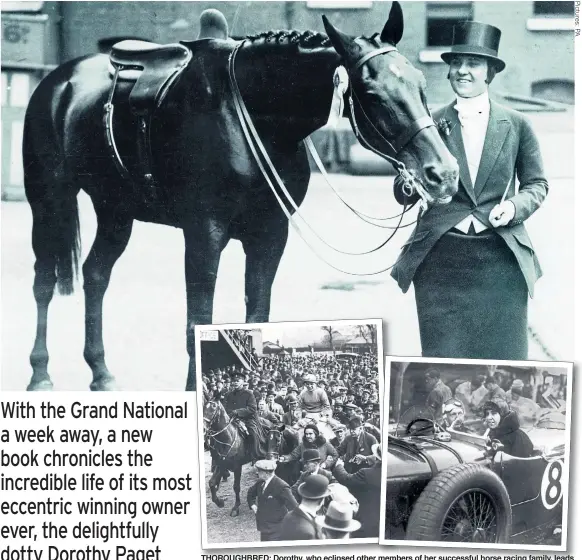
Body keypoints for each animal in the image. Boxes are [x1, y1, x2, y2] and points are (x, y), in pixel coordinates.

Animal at [22, 2, 460, 392]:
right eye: (372, 94)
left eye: (420, 84)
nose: (444, 173)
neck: (250, 114)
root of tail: (58, 81)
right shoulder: (204, 234)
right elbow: (195, 324)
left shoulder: (271, 233)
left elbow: (257, 315)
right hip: (47, 201)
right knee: (43, 282)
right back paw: (40, 374)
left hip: (116, 211)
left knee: (96, 275)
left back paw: (101, 372)